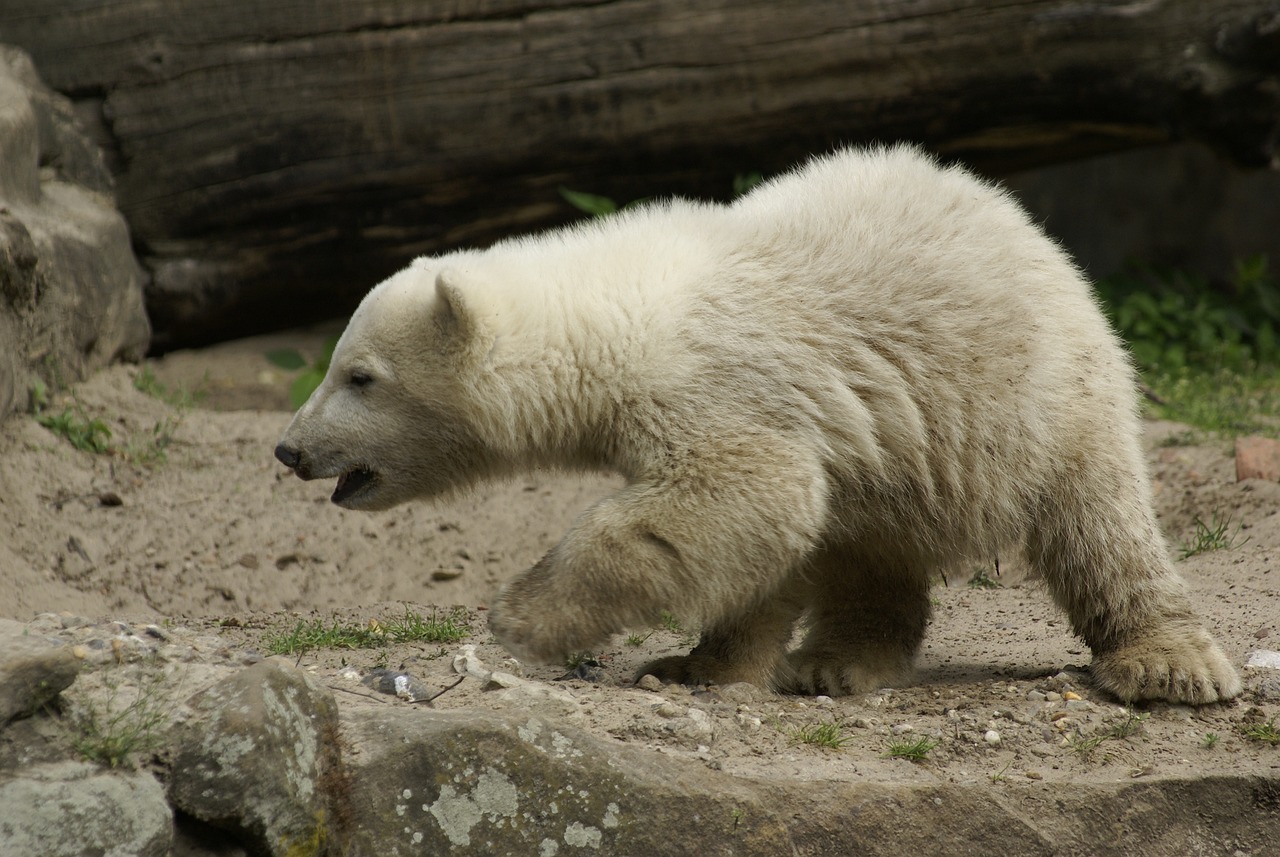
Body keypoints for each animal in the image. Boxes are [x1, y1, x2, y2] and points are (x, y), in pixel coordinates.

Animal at [277, 145, 1239, 706]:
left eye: (359, 375)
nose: (289, 448)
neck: (624, 308)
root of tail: (1030, 230)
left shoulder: (723, 383)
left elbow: (744, 495)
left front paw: (521, 617)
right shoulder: (789, 412)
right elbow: (768, 535)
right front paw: (696, 666)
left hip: (1039, 392)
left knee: (1098, 519)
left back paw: (1168, 665)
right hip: (903, 445)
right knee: (868, 541)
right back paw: (837, 661)